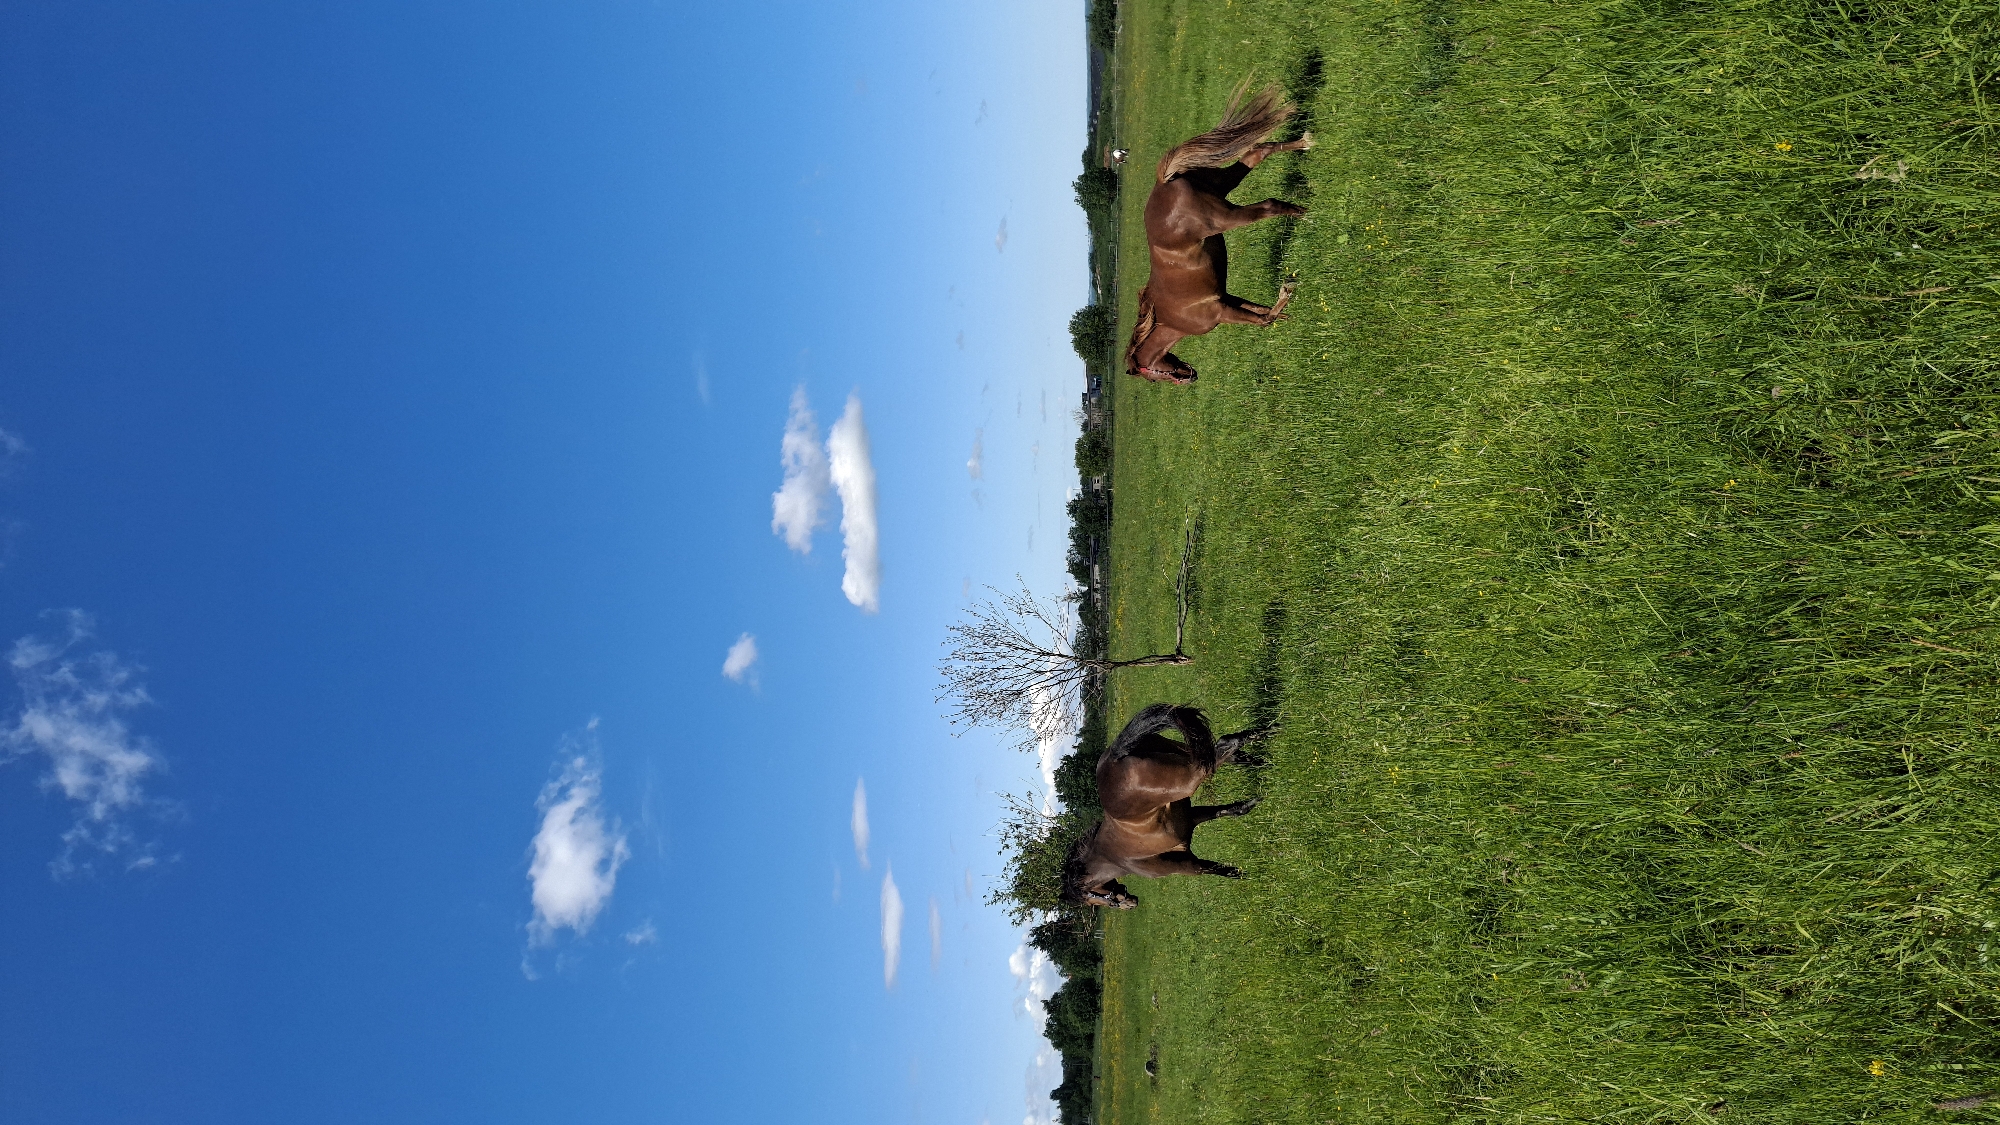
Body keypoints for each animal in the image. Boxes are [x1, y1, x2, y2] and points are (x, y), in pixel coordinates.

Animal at [1061, 704, 1269, 910]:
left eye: (1092, 900)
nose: (1131, 904)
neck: (1112, 858)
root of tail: (1114, 756)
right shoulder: (1190, 818)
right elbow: (1227, 813)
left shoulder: (1188, 865)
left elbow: (1218, 869)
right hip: (1187, 753)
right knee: (1222, 751)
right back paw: (1263, 752)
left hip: (1191, 776)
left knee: (1224, 745)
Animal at [1124, 83, 1314, 385]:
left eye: (1153, 378)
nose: (1191, 376)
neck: (1172, 318)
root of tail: (1165, 182)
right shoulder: (1227, 300)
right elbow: (1259, 311)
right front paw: (1286, 307)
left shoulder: (1222, 312)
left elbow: (1264, 320)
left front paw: (1285, 294)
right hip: (1224, 182)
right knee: (1258, 151)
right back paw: (1305, 143)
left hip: (1228, 217)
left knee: (1269, 206)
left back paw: (1305, 211)